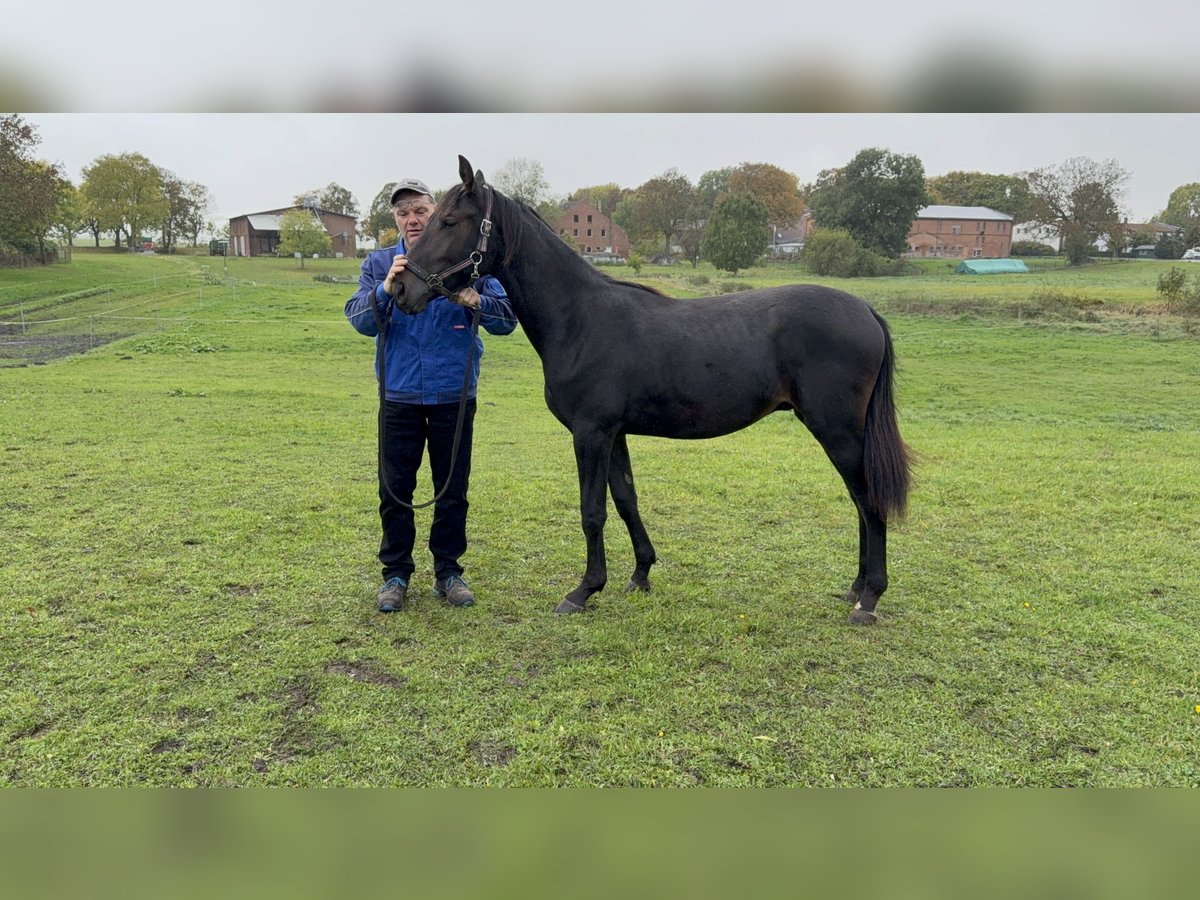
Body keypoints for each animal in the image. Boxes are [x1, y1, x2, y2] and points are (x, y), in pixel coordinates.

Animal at [394, 156, 912, 624]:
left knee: (868, 502)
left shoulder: (591, 434)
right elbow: (626, 500)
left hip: (838, 431)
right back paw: (856, 589)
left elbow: (592, 511)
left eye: (449, 221)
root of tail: (866, 310)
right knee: (860, 502)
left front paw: (583, 591)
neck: (579, 318)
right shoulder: (615, 434)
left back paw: (869, 600)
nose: (400, 290)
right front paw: (640, 574)